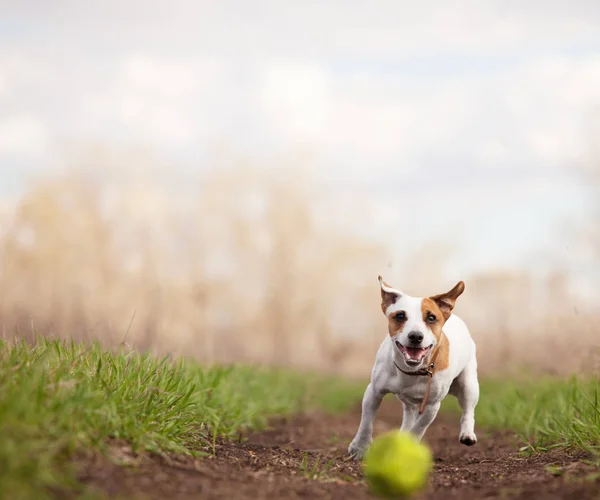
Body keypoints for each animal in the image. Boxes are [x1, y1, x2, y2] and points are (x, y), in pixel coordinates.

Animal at [346, 276, 478, 458]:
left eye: (431, 318)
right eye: (400, 316)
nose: (415, 336)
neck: (411, 371)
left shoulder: (432, 405)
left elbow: (418, 428)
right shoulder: (374, 391)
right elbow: (366, 422)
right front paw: (359, 447)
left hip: (469, 385)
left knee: (468, 410)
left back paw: (467, 433)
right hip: (409, 402)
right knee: (409, 415)